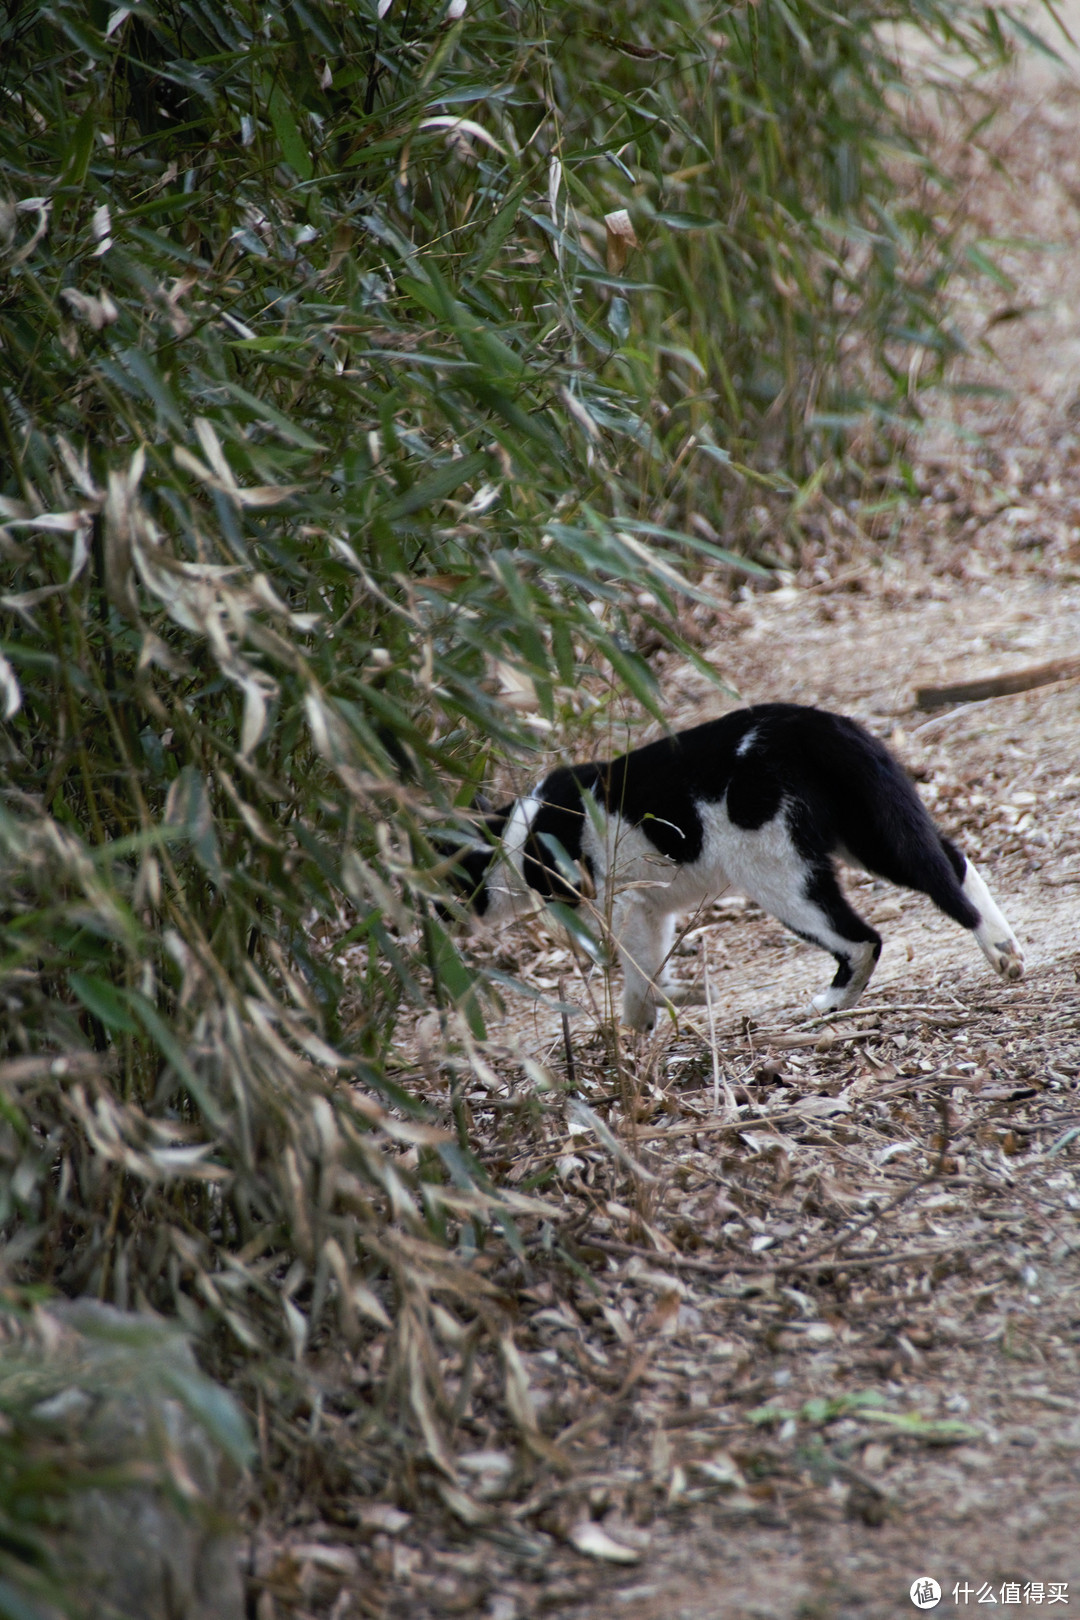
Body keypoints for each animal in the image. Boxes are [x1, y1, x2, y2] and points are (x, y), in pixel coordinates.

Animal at [446, 703, 1023, 1030]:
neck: (512, 837)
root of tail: (815, 723)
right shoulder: (651, 909)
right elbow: (649, 966)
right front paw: (654, 1015)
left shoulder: (611, 906)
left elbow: (633, 969)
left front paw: (649, 1018)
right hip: (871, 833)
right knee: (952, 865)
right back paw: (1005, 954)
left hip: (780, 875)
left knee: (862, 939)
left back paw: (830, 1006)